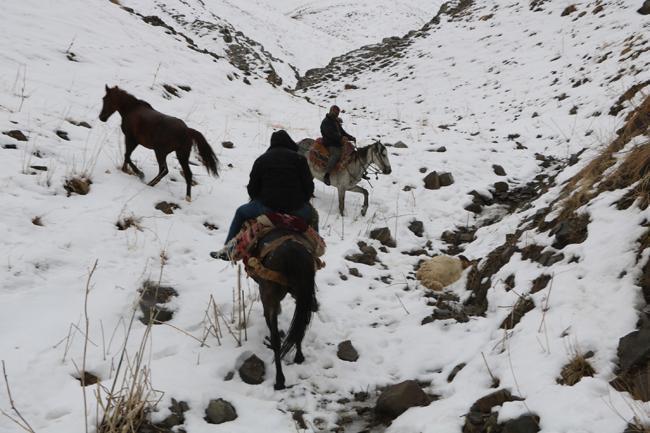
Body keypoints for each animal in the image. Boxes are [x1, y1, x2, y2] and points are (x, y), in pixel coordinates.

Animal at [251, 230, 316, 388]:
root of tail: (292, 251)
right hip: (302, 294)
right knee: (300, 325)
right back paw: (299, 357)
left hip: (269, 296)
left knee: (276, 339)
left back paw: (279, 380)